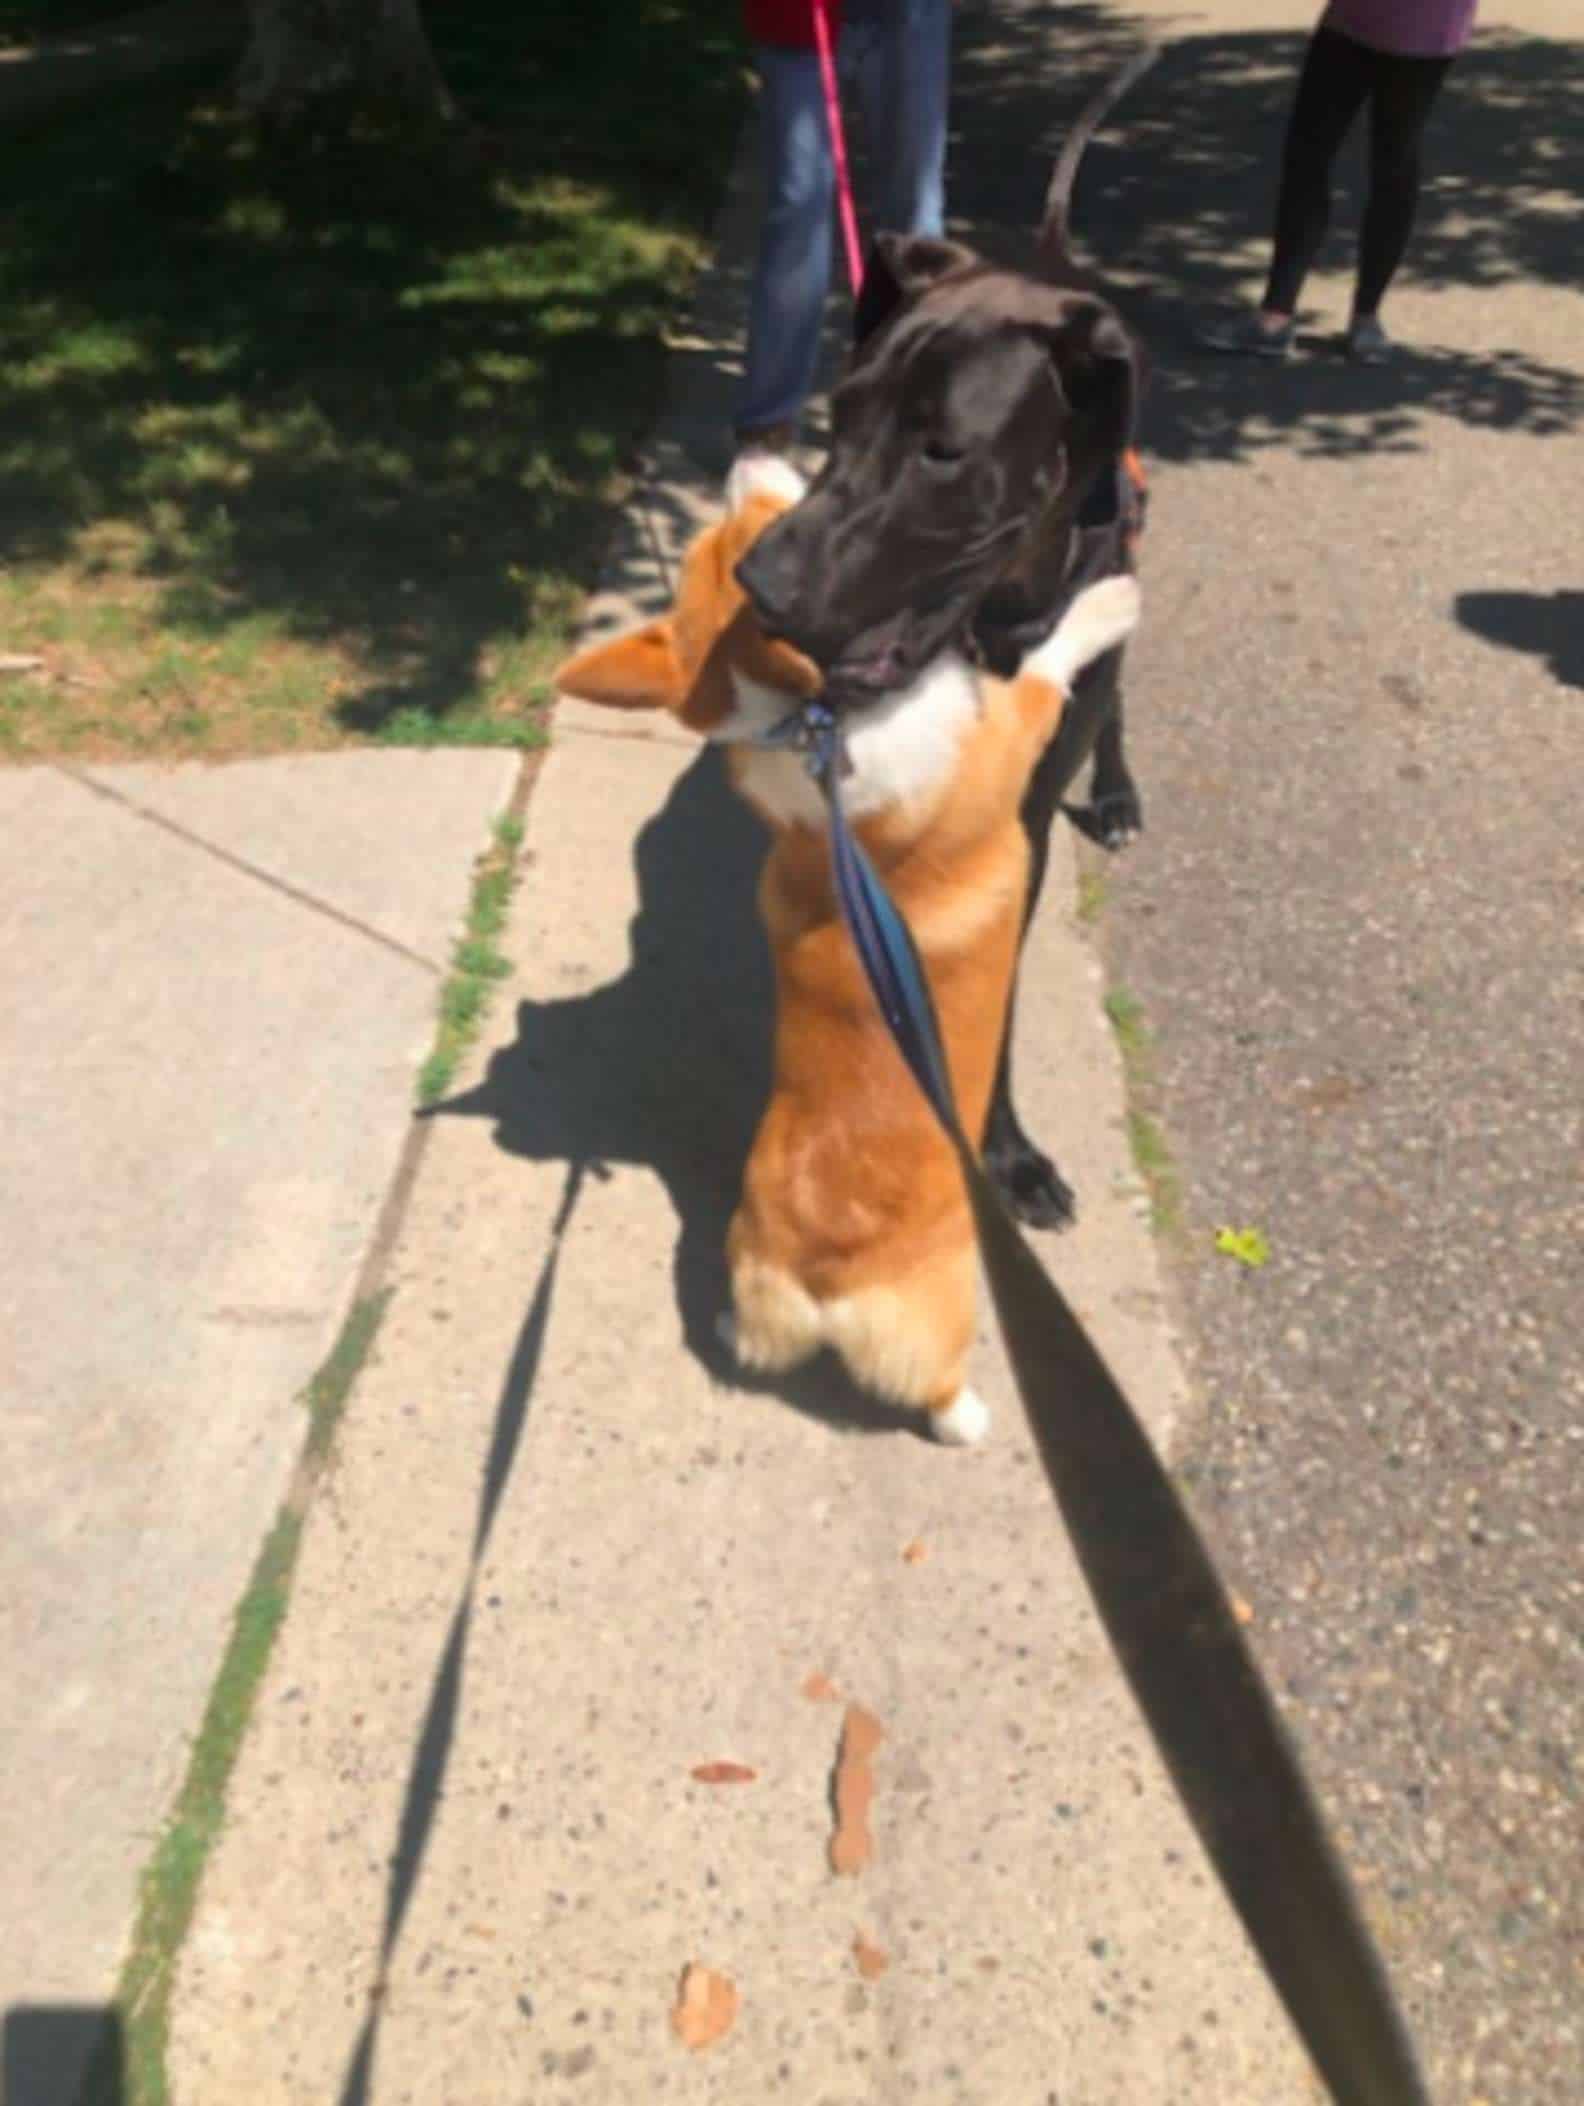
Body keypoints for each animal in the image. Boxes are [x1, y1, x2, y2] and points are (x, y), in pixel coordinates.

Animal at [737, 45, 1154, 1229]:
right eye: (842, 411)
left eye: (942, 450)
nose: (759, 584)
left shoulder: (1017, 828)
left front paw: (1001, 1152)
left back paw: (1117, 789)